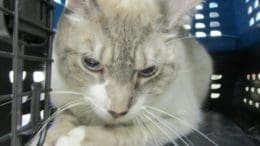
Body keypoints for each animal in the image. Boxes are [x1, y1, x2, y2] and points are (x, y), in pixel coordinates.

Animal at [39, 0, 212, 145]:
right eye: (92, 63)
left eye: (148, 71)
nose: (117, 112)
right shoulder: (64, 102)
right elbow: (63, 120)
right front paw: (51, 138)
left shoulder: (181, 119)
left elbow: (126, 131)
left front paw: (76, 138)